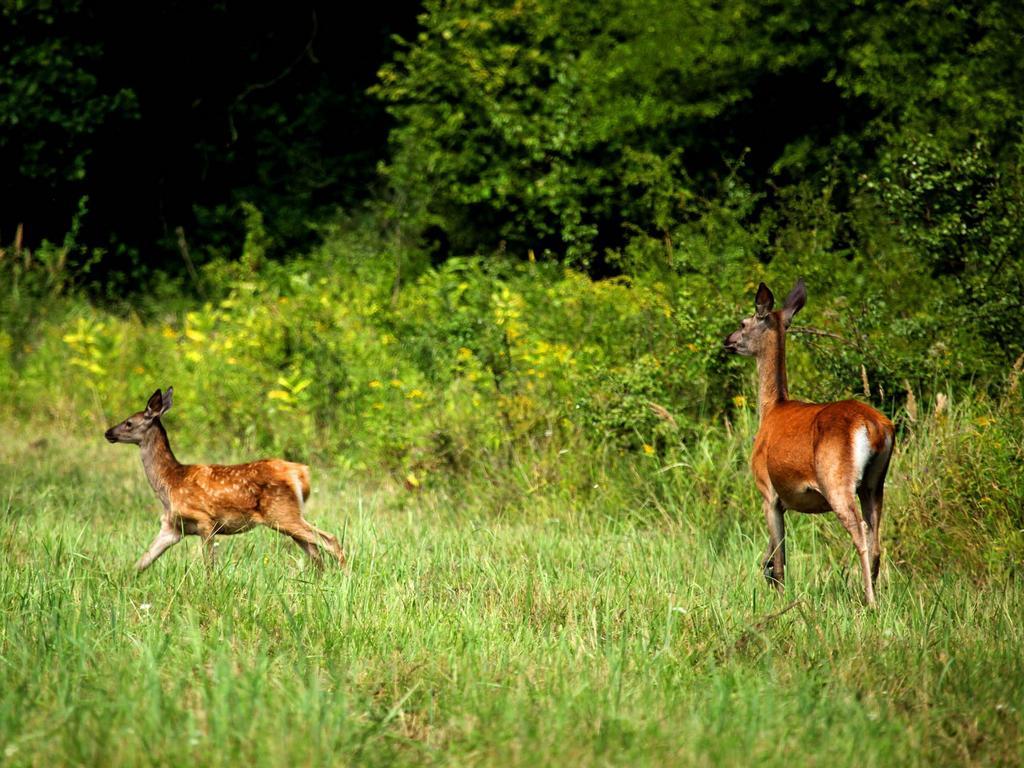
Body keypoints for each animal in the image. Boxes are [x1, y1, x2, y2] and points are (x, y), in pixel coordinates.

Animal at [103, 391, 344, 573]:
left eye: (129, 423)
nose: (107, 433)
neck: (169, 482)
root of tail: (301, 472)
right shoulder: (172, 527)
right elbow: (140, 563)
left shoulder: (205, 520)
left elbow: (209, 565)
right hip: (286, 517)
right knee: (315, 551)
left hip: (281, 512)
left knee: (329, 540)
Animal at [724, 282, 892, 606]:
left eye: (743, 323)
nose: (728, 341)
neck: (771, 408)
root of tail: (874, 427)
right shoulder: (786, 501)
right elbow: (770, 555)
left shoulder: (768, 492)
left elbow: (780, 558)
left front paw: (780, 598)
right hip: (875, 483)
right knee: (876, 539)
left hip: (836, 479)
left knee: (861, 535)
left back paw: (870, 602)